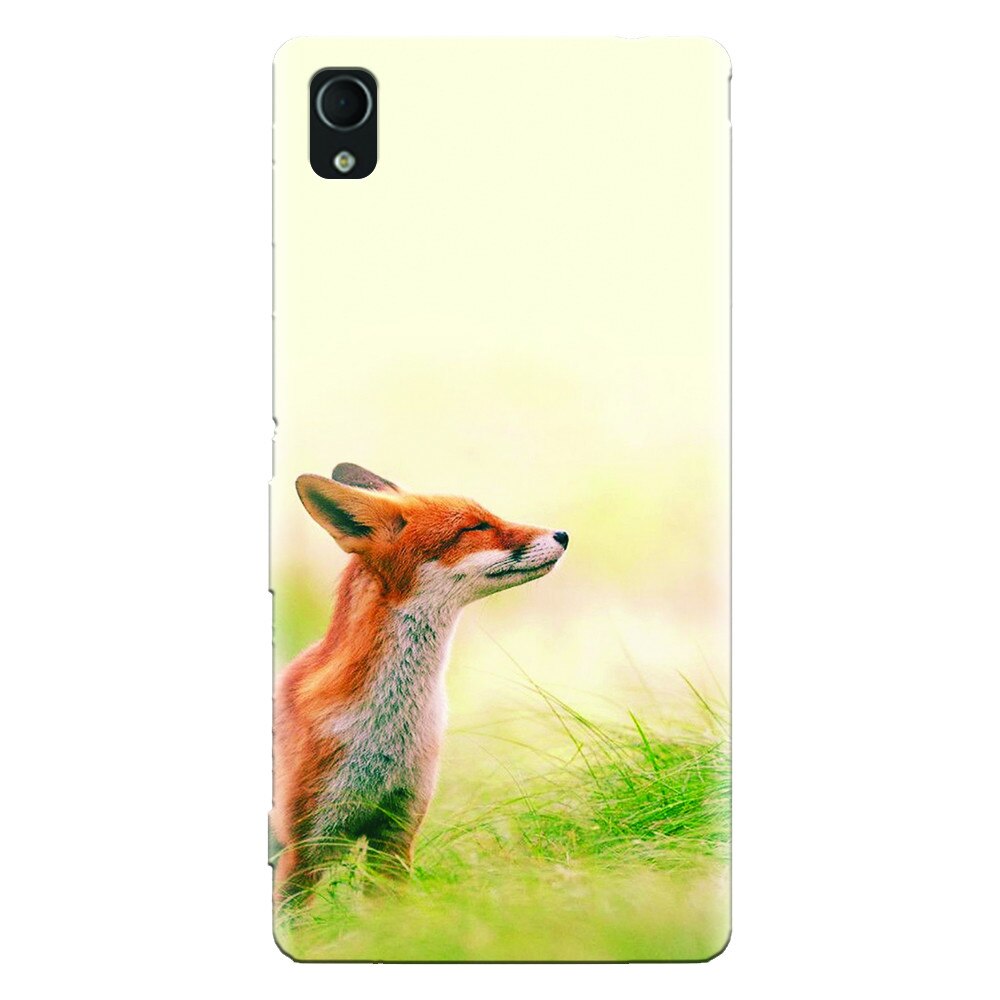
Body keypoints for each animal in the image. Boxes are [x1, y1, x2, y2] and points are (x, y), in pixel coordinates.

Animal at [272, 462, 568, 900]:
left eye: (489, 516)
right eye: (475, 527)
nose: (563, 535)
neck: (386, 731)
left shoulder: (396, 833)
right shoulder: (302, 849)